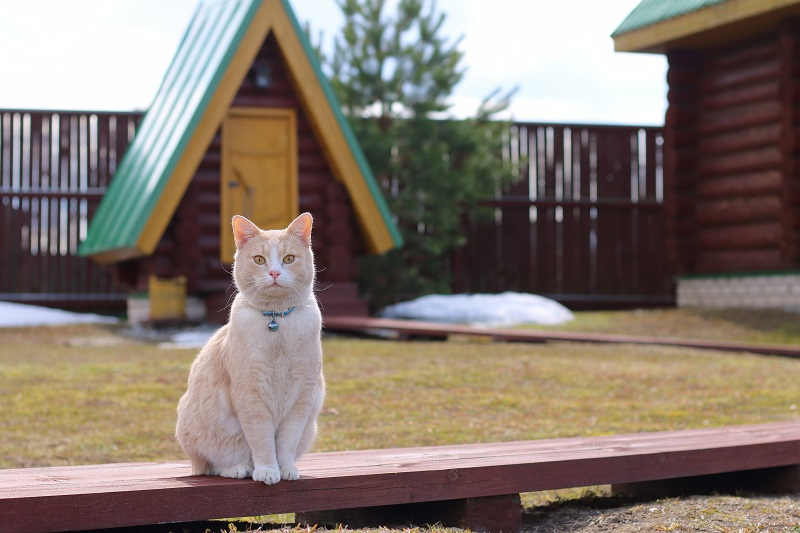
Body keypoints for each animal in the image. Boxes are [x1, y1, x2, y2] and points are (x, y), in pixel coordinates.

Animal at [176, 211, 324, 482]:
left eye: (288, 259)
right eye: (259, 260)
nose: (274, 273)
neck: (276, 323)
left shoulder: (302, 395)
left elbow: (287, 441)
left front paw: (285, 468)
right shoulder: (250, 393)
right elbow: (261, 438)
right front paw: (267, 470)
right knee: (211, 466)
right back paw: (240, 468)